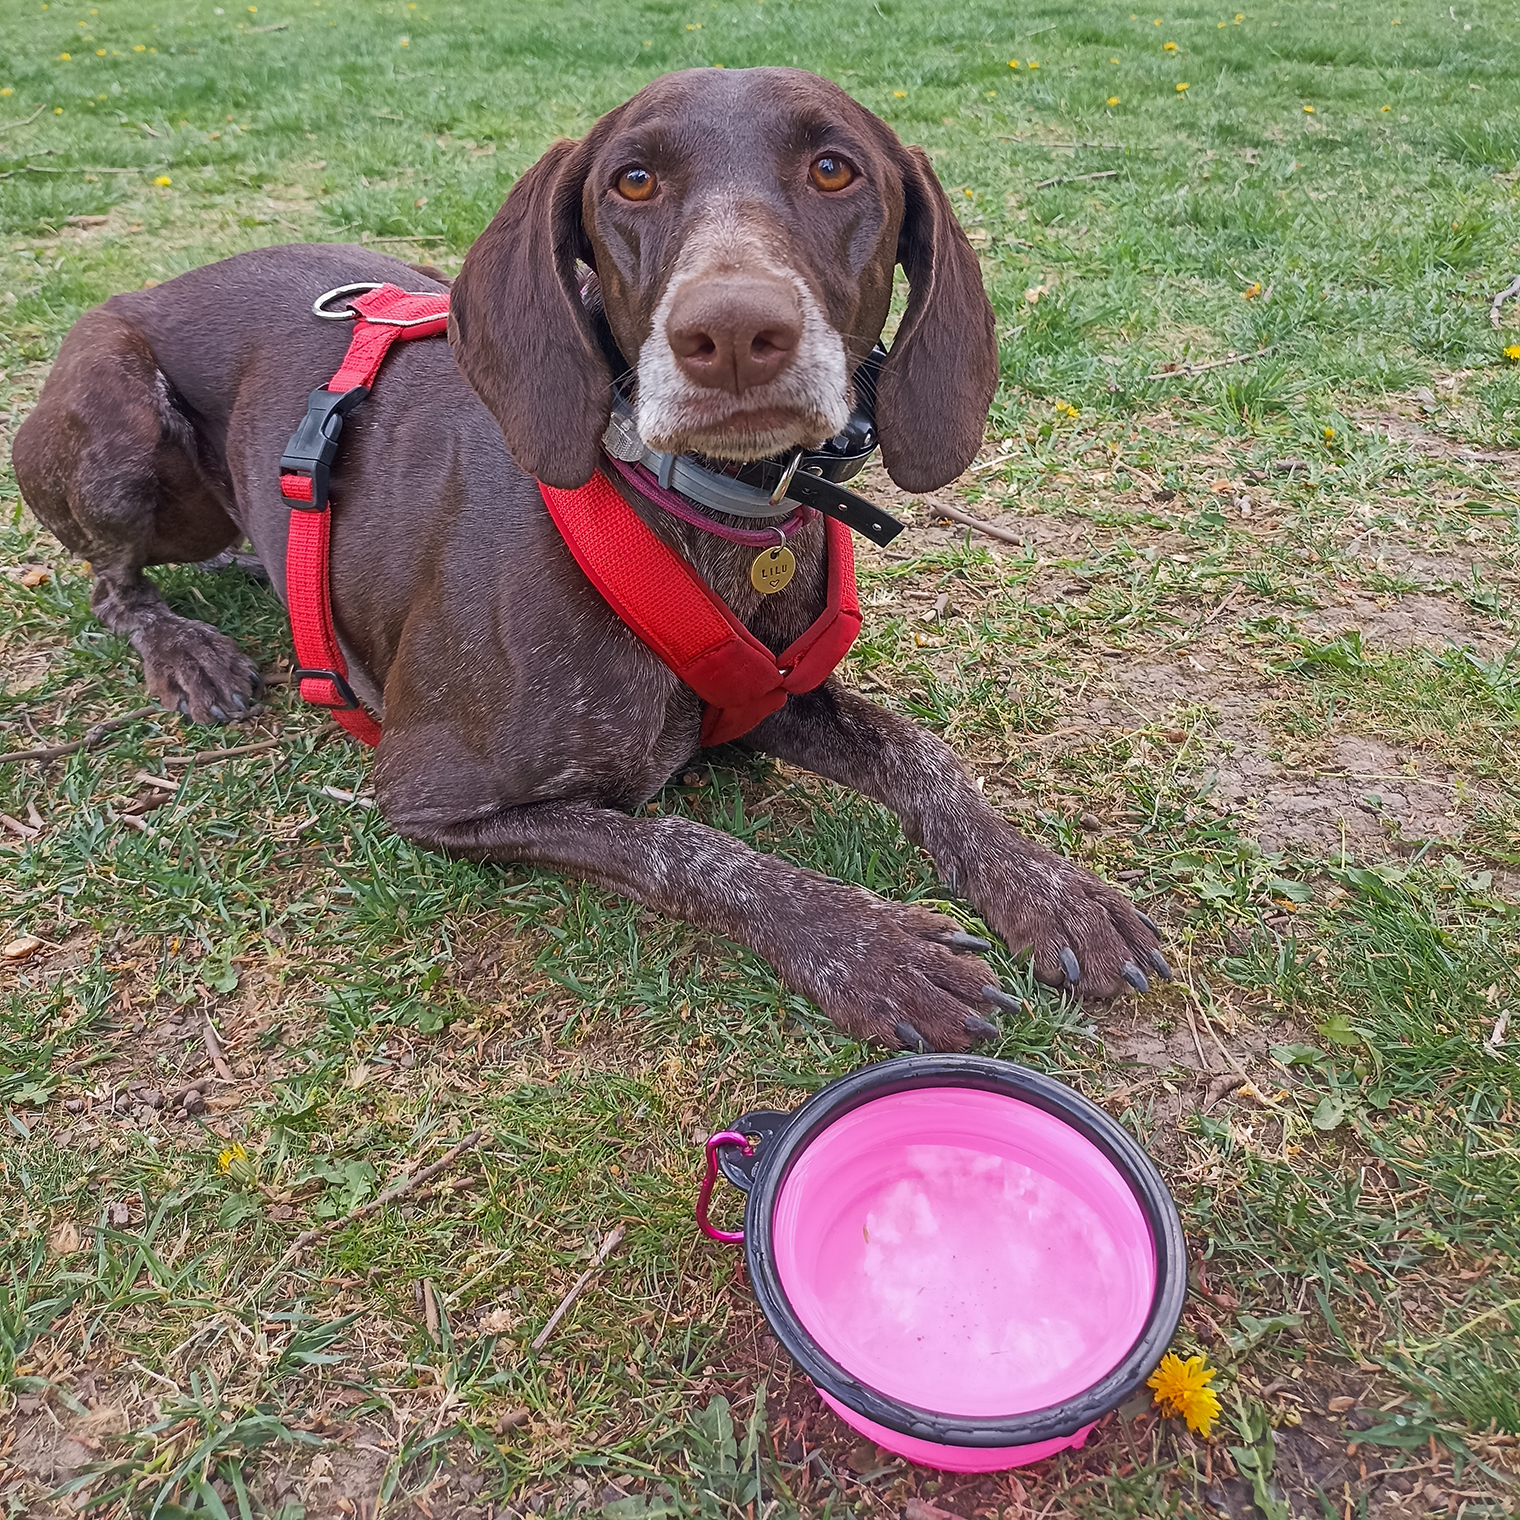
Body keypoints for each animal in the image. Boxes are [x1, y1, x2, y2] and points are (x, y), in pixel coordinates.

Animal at [14, 65, 1161, 1051]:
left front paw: (1045, 887)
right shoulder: (427, 794)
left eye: (834, 169)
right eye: (634, 179)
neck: (697, 509)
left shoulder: (775, 695)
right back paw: (184, 649)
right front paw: (867, 945)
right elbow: (686, 848)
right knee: (110, 584)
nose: (732, 333)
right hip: (119, 433)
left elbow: (922, 753)